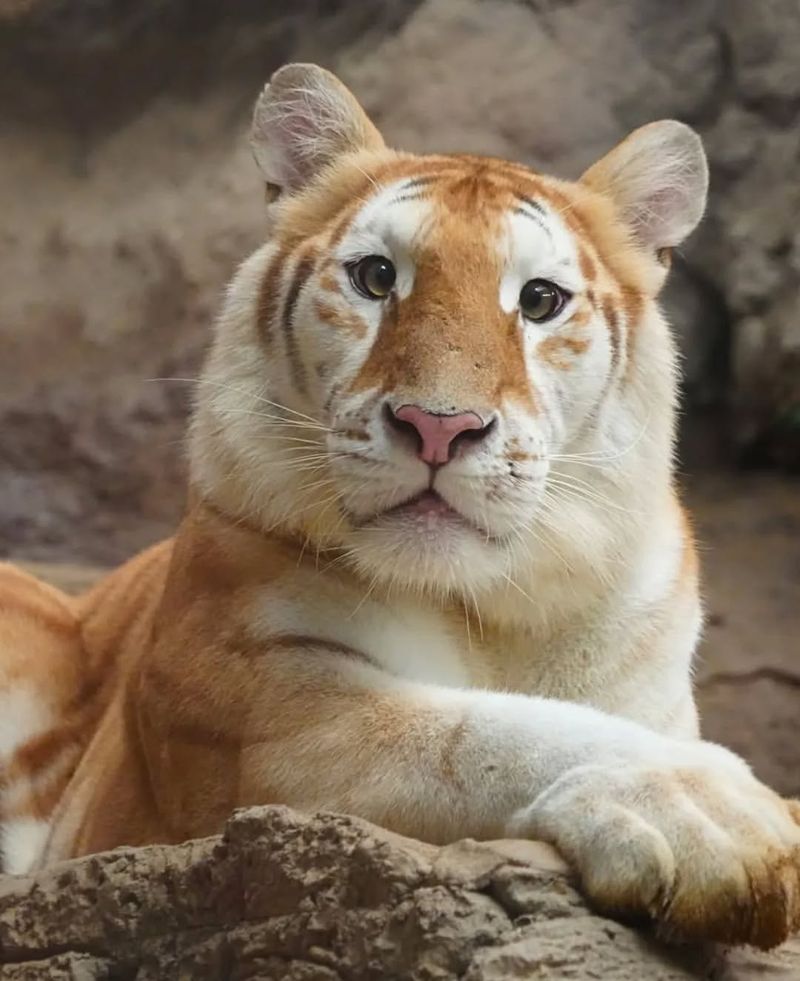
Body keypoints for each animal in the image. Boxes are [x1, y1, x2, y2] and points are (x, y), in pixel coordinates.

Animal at [1, 61, 800, 948]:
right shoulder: (260, 710)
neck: (496, 610)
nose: (438, 426)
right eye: (378, 277)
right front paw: (710, 813)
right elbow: (480, 731)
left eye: (540, 300)